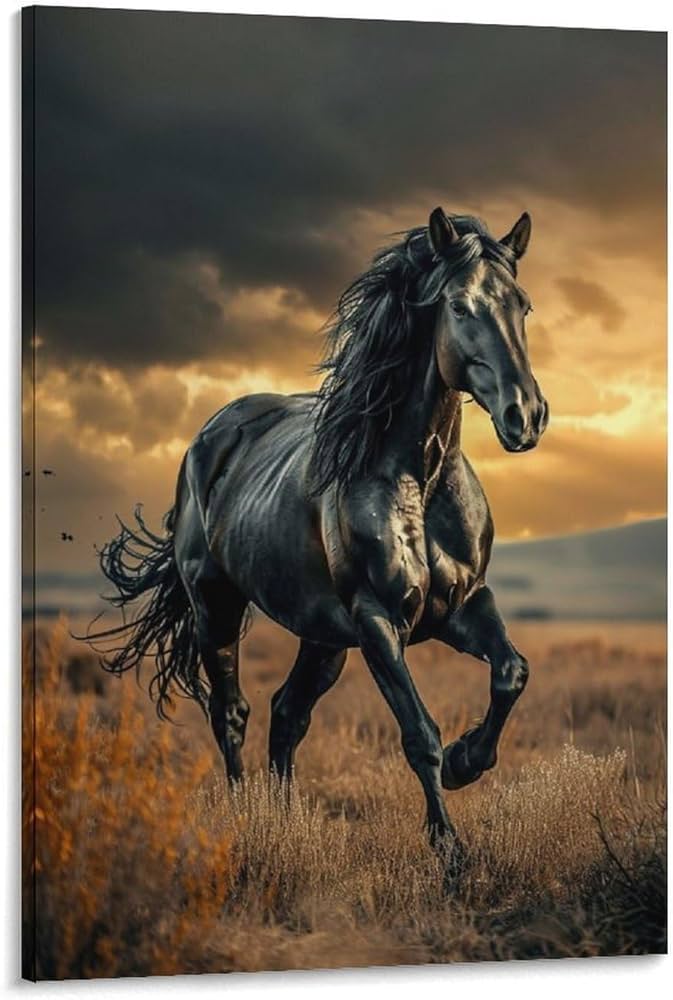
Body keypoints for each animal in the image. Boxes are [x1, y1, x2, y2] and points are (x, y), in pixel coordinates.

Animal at [89, 207, 548, 862]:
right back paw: (246, 820)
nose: (525, 416)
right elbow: (419, 734)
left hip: (324, 638)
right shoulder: (377, 621)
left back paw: (283, 822)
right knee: (232, 712)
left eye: (523, 306)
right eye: (460, 307)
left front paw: (468, 760)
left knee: (287, 713)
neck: (418, 479)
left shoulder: (463, 605)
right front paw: (449, 848)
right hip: (217, 608)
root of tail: (210, 436)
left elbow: (512, 673)